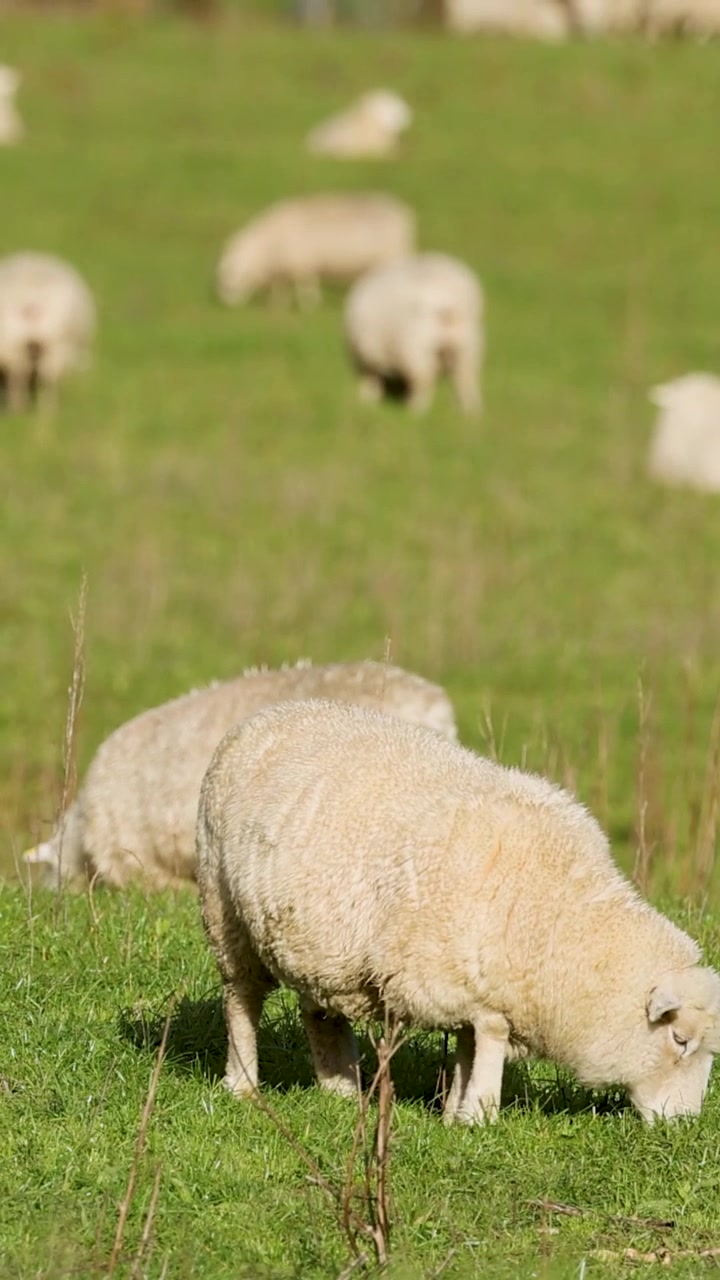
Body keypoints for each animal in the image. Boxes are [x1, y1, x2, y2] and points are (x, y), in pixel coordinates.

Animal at [0, 252, 96, 412]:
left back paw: (21, 407)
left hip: (22, 346)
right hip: (54, 346)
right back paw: (46, 409)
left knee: (22, 374)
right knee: (46, 377)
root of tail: (32, 302)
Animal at [197, 698, 720, 1124]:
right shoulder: (450, 975)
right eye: (680, 1040)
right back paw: (243, 1082)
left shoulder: (475, 981)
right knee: (242, 999)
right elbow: (489, 1032)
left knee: (319, 1010)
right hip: (226, 915)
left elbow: (469, 1041)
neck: (556, 922)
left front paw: (454, 1113)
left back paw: (341, 1089)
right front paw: (480, 1114)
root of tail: (268, 713)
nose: (682, 1126)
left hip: (320, 944)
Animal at [215, 193, 416, 309]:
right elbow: (280, 288)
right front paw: (278, 306)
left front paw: (309, 305)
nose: (227, 304)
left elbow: (306, 285)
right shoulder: (282, 268)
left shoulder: (302, 264)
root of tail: (400, 211)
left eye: (231, 279)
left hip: (394, 254)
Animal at [344, 252, 483, 414]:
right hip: (468, 346)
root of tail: (447, 303)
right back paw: (470, 411)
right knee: (466, 377)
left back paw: (416, 409)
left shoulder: (362, 357)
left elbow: (369, 379)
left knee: (425, 377)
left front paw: (366, 400)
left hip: (417, 346)